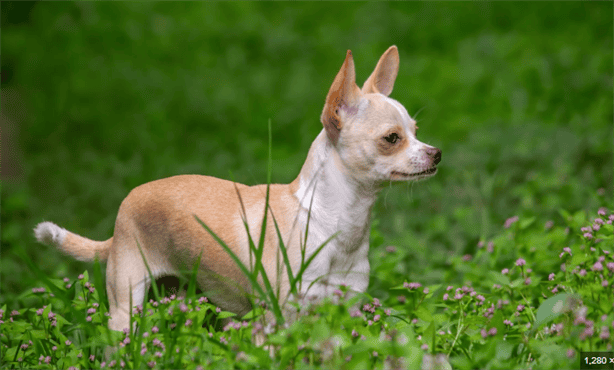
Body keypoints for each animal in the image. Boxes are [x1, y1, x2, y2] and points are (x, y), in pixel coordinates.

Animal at [35, 45, 442, 336]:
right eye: (392, 138)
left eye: (417, 130)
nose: (436, 153)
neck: (337, 222)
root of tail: (123, 211)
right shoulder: (282, 320)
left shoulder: (345, 311)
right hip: (126, 307)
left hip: (178, 296)